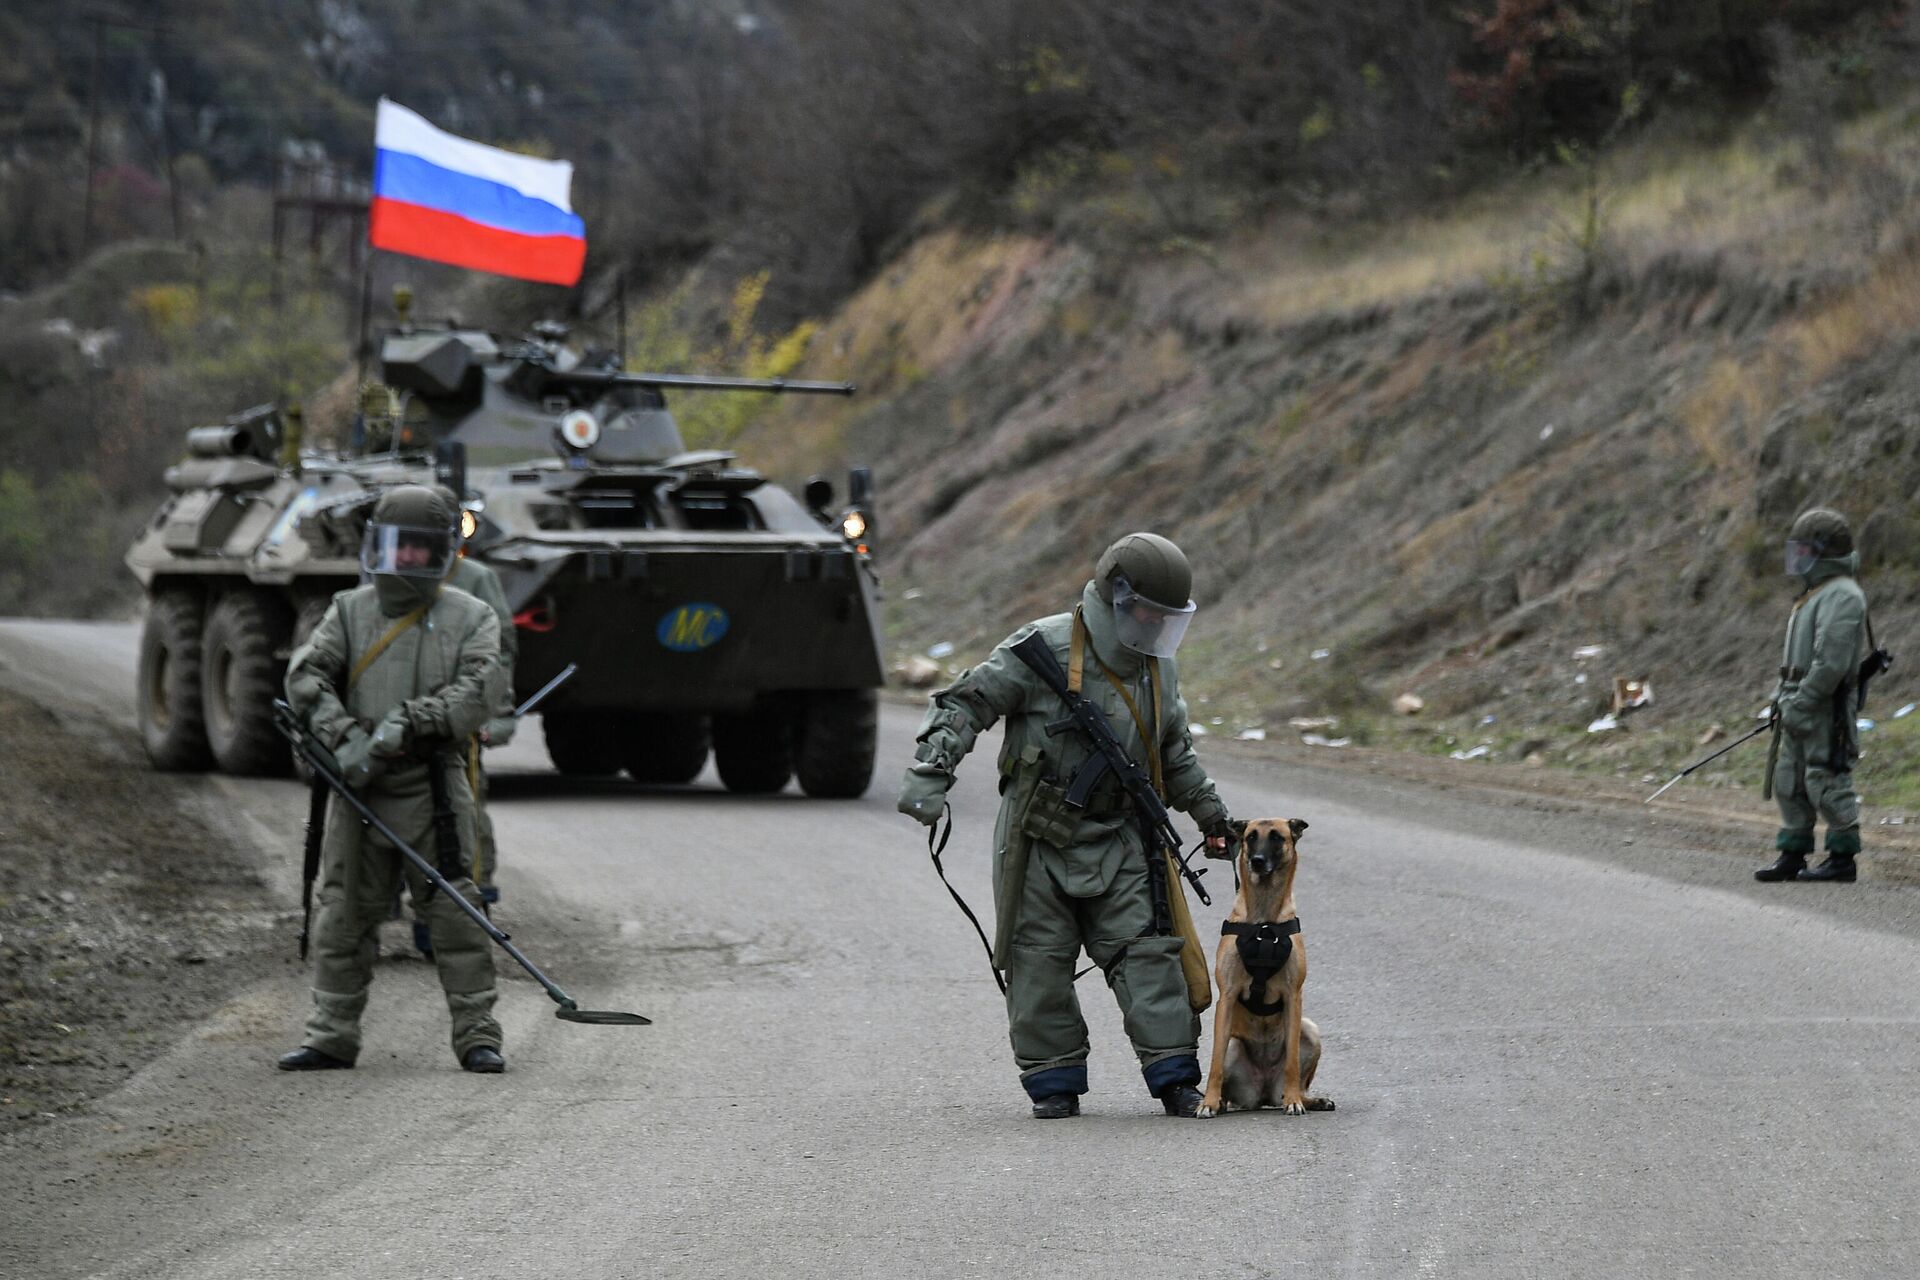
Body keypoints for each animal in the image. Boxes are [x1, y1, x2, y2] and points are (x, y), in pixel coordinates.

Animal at [1198, 821, 1336, 1120]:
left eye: (1276, 837)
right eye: (1251, 837)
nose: (1257, 861)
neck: (1264, 923)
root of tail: (1262, 1093)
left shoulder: (1293, 996)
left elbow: (1292, 1062)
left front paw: (1294, 1101)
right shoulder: (1226, 996)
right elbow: (1214, 1064)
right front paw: (1208, 1102)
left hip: (1309, 1029)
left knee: (1296, 1082)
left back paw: (1308, 1099)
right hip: (1233, 1044)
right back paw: (1221, 1102)